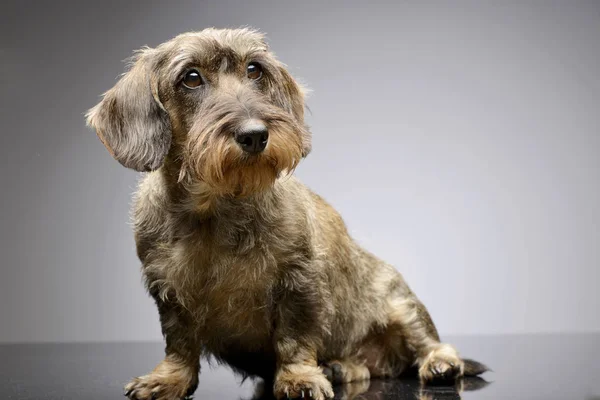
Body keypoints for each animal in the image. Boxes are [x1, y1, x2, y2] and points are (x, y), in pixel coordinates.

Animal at [85, 28, 488, 400]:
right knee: (365, 369)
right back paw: (343, 367)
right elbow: (179, 343)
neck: (218, 208)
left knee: (429, 343)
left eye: (254, 70)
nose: (255, 134)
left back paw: (439, 363)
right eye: (191, 77)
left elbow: (295, 338)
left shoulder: (300, 282)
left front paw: (300, 378)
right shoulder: (167, 291)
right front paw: (169, 379)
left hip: (401, 305)